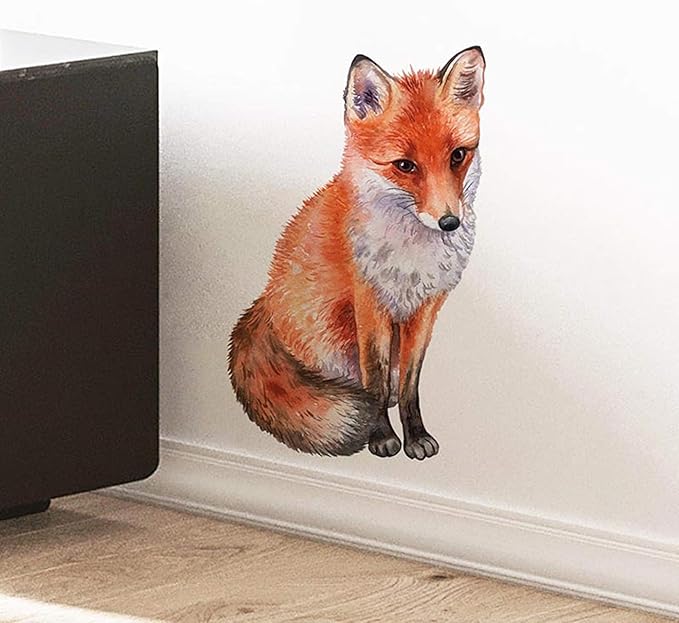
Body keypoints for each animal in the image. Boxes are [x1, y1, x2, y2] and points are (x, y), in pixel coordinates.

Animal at [229, 46, 485, 460]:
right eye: (405, 165)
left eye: (458, 156)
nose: (449, 222)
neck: (411, 260)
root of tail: (263, 305)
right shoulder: (368, 303)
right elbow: (374, 380)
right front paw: (380, 435)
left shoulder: (425, 310)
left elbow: (410, 383)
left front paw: (415, 435)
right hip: (329, 333)